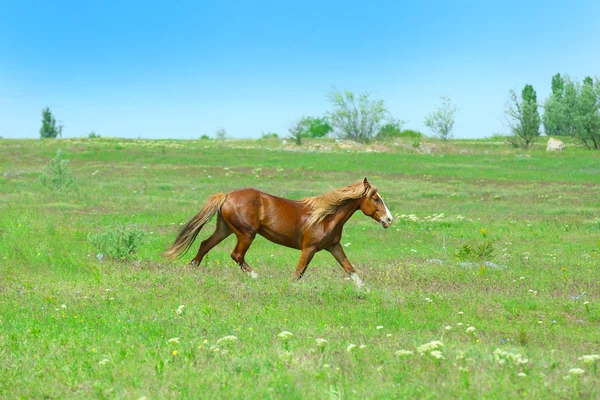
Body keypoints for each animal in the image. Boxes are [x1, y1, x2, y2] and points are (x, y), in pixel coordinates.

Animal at [163, 178, 394, 288]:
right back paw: (257, 277)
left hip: (225, 229)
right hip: (246, 234)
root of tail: (226, 195)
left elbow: (350, 269)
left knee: (205, 244)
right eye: (375, 198)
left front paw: (365, 289)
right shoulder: (309, 248)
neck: (326, 217)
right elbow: (299, 272)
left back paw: (191, 269)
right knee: (236, 255)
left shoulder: (333, 246)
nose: (389, 219)